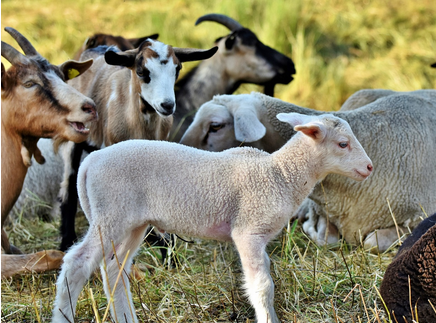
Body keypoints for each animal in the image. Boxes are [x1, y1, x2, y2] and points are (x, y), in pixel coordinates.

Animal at [51, 112, 372, 322]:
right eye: (343, 144)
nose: (369, 168)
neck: (279, 174)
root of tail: (91, 162)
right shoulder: (247, 231)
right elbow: (262, 286)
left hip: (132, 223)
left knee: (114, 270)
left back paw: (127, 318)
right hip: (111, 215)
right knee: (77, 263)